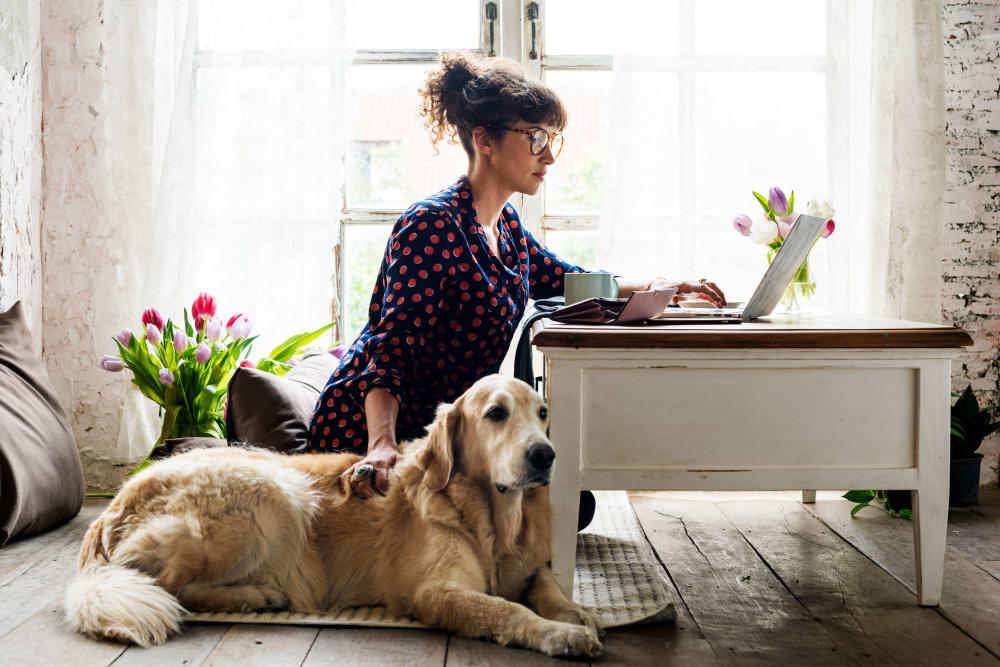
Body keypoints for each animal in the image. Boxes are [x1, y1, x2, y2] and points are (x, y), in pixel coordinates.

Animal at [70, 376, 604, 656]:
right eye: (496, 413)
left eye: (543, 413)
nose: (545, 456)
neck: (494, 519)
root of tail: (113, 505)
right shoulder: (436, 592)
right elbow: (508, 609)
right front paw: (562, 634)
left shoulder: (531, 566)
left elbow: (548, 588)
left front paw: (579, 614)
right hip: (276, 493)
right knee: (172, 588)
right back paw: (255, 596)